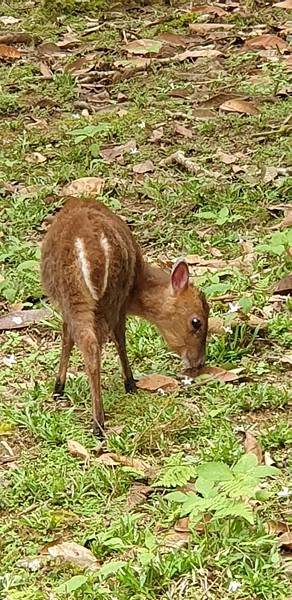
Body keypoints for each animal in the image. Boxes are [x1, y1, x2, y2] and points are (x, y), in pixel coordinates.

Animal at [41, 199, 209, 434]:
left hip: (83, 296)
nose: (199, 363)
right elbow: (105, 339)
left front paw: (59, 388)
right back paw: (99, 420)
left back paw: (96, 420)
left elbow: (71, 338)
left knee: (89, 344)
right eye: (196, 322)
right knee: (95, 344)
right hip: (98, 297)